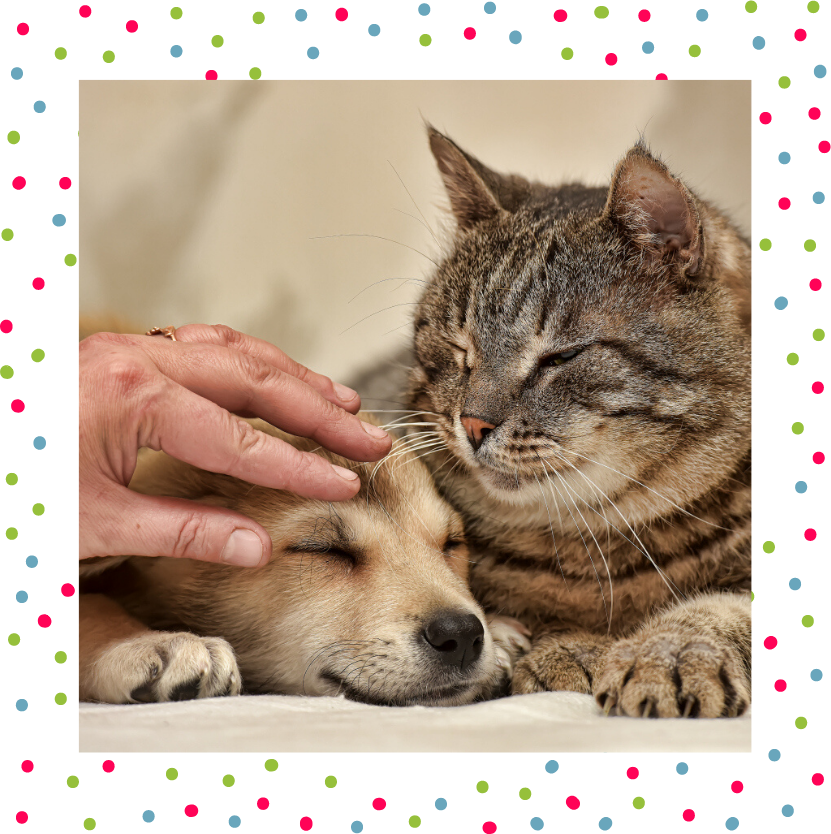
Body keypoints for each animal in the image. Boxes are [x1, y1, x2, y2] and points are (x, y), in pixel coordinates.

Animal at [79, 412, 532, 704]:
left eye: (451, 543)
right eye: (323, 549)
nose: (463, 635)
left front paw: (500, 635)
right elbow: (93, 606)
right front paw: (146, 644)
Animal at [394, 127, 752, 720]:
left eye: (559, 358)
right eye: (460, 347)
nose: (472, 423)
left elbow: (718, 610)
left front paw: (663, 653)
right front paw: (560, 645)